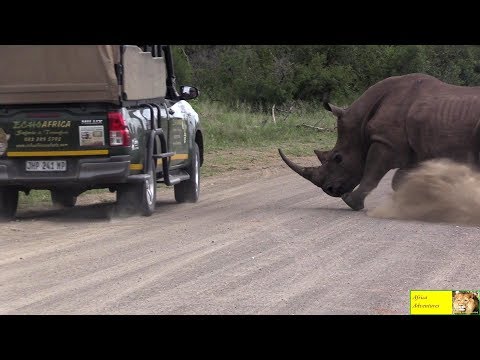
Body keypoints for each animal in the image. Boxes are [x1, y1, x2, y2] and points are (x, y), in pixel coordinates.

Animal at [280, 73, 480, 211]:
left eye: (338, 158)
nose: (329, 190)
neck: (360, 124)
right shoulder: (413, 149)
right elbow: (399, 179)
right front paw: (419, 199)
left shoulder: (385, 142)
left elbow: (372, 173)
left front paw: (351, 202)